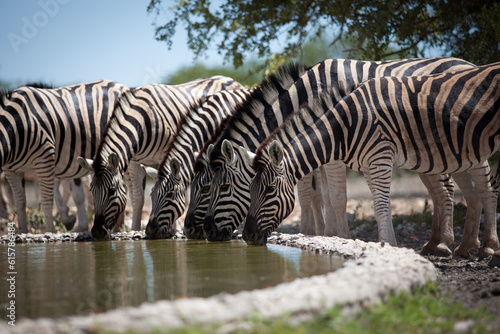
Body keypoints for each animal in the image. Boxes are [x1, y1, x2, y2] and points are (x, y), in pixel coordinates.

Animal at [0, 79, 129, 234]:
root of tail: (119, 84)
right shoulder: (12, 169)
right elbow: (20, 201)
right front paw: (22, 232)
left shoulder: (46, 159)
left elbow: (49, 200)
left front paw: (54, 230)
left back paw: (119, 227)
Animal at [197, 57, 474, 245]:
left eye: (220, 187)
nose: (205, 232)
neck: (307, 94)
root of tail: (464, 61)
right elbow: (319, 196)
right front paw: (321, 233)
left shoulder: (335, 148)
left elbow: (334, 197)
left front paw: (336, 236)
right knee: (442, 188)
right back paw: (439, 244)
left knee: (449, 187)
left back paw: (446, 245)